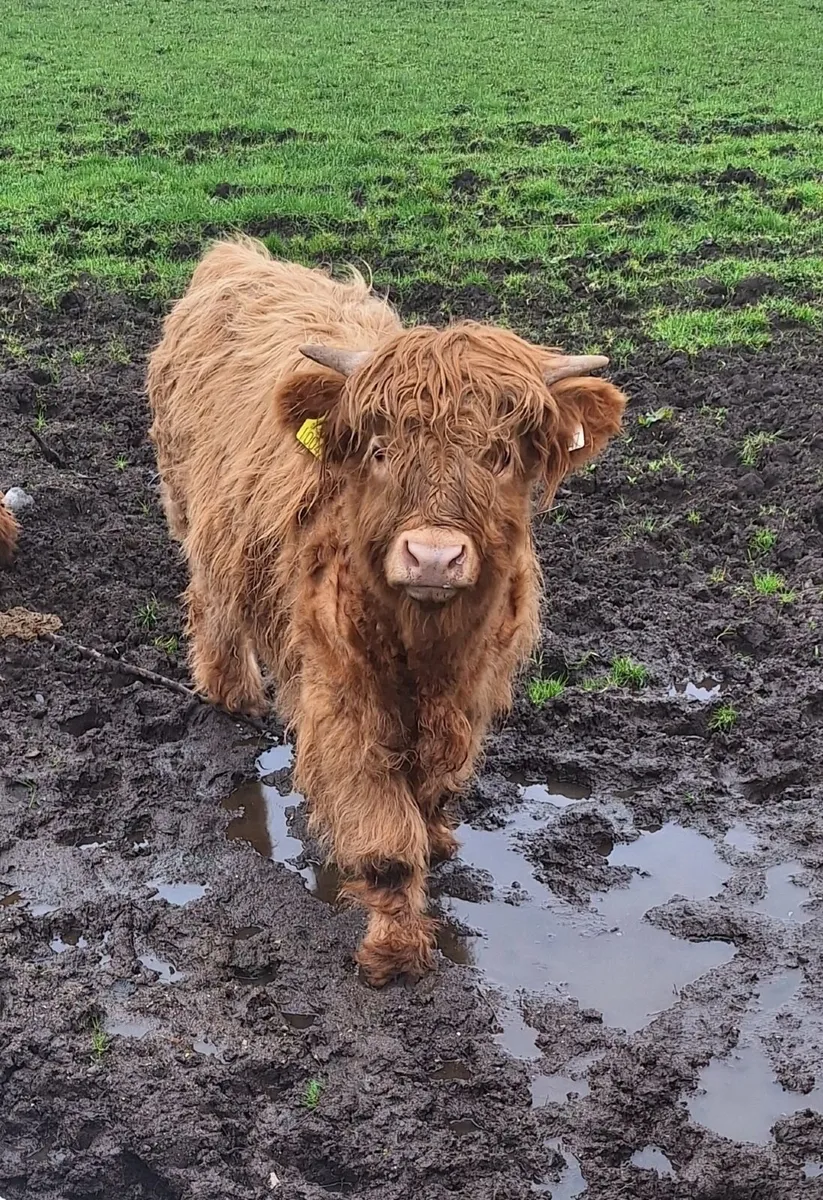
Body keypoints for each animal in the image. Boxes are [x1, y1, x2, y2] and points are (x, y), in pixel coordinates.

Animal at [147, 237, 626, 986]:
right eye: (379, 450)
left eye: (498, 457)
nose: (432, 556)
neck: (423, 644)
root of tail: (236, 256)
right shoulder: (343, 695)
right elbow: (383, 835)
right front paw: (395, 952)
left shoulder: (469, 688)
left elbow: (430, 792)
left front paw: (439, 836)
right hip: (190, 511)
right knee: (213, 603)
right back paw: (232, 694)